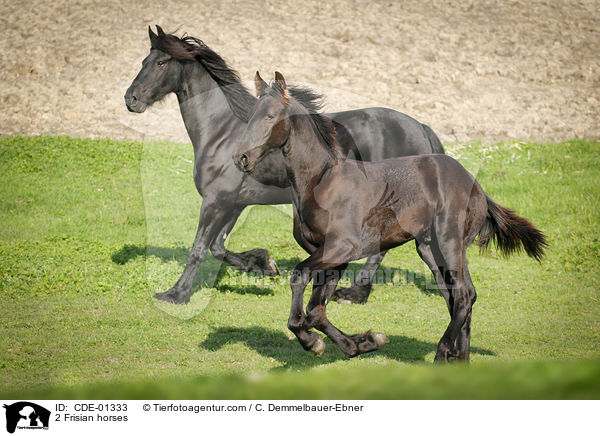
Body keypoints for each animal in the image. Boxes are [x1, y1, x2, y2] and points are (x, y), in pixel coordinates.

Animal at [124, 24, 442, 304]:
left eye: (161, 62)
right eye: (143, 61)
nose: (131, 99)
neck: (221, 132)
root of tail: (421, 128)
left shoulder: (216, 201)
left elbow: (200, 248)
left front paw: (176, 294)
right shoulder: (234, 203)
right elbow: (218, 247)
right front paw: (265, 264)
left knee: (379, 250)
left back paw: (354, 294)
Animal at [234, 73, 548, 362]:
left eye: (270, 116)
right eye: (249, 117)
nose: (241, 158)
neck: (321, 183)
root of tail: (476, 186)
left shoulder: (340, 249)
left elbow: (301, 283)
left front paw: (314, 341)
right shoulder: (332, 257)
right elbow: (317, 310)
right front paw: (362, 342)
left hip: (450, 242)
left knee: (463, 295)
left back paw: (443, 352)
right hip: (429, 249)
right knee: (457, 296)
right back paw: (460, 358)